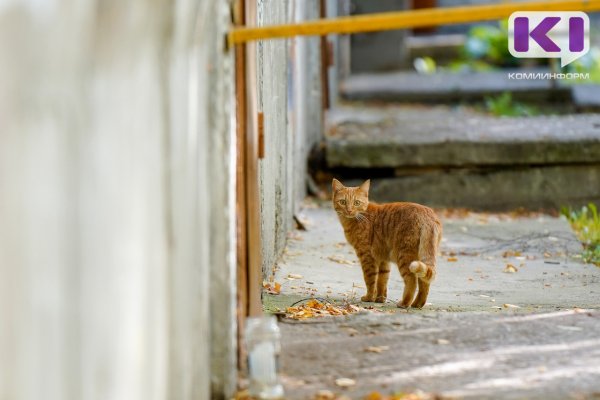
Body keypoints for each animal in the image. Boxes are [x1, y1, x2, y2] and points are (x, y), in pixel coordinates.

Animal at [332, 179, 440, 310]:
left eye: (356, 203)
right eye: (343, 202)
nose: (349, 210)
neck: (359, 218)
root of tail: (427, 215)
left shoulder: (367, 256)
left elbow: (370, 280)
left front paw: (369, 297)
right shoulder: (383, 258)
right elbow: (382, 281)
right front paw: (380, 299)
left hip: (404, 257)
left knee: (412, 280)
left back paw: (405, 303)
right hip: (420, 257)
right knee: (424, 282)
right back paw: (417, 304)